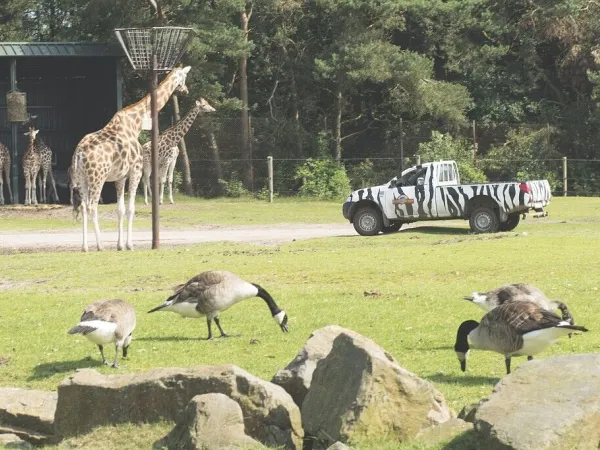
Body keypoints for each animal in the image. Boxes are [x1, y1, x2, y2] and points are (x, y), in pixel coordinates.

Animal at [71, 65, 191, 251]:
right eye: (185, 77)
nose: (185, 90)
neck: (136, 124)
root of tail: (79, 153)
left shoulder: (120, 177)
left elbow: (120, 209)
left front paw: (120, 245)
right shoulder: (136, 171)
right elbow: (131, 208)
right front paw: (129, 245)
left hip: (81, 178)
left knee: (83, 207)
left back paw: (84, 247)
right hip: (97, 177)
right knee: (92, 206)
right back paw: (100, 246)